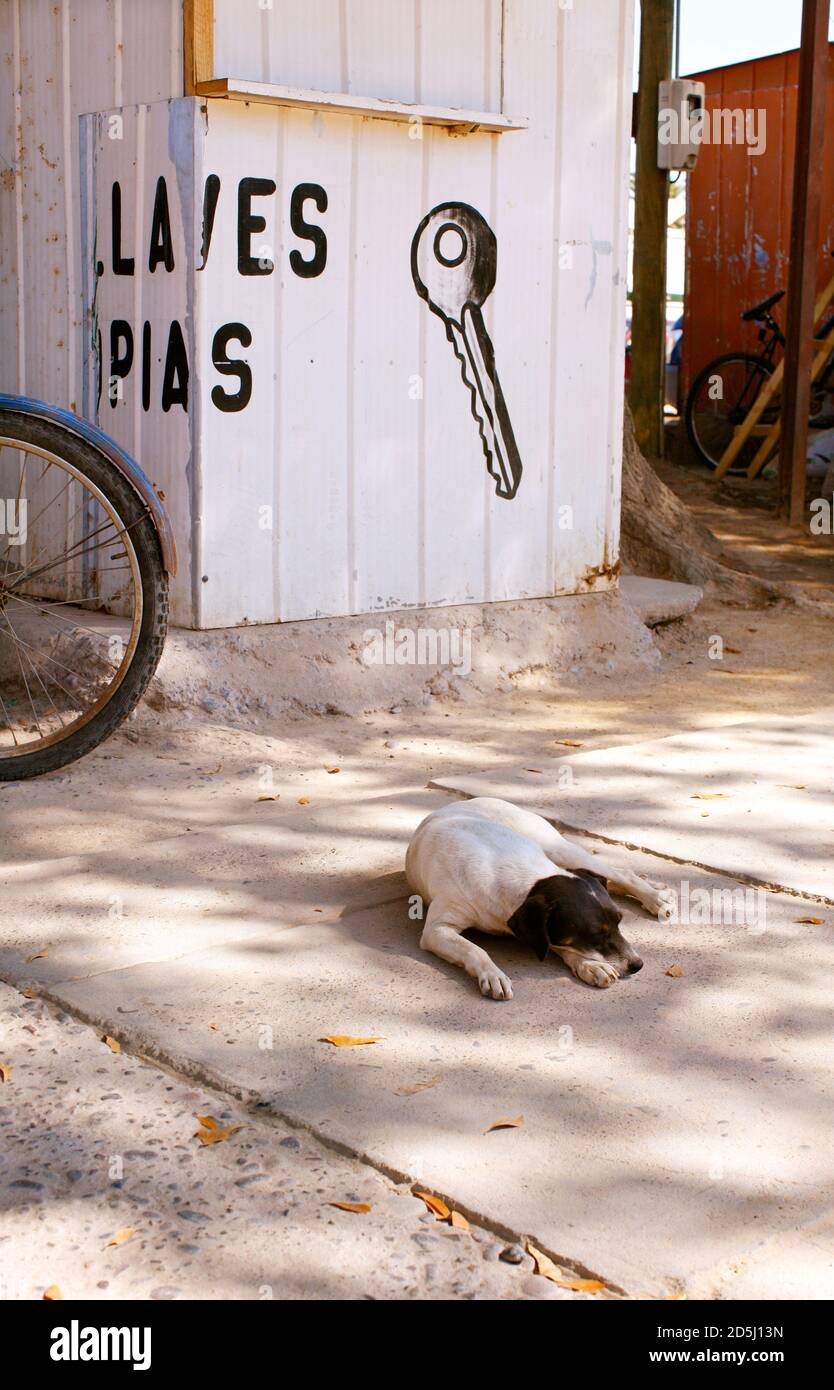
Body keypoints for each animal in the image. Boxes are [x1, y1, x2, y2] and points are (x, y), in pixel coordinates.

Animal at [403, 795, 664, 1000]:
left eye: (620, 921)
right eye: (596, 934)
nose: (638, 965)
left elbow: (558, 944)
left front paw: (589, 965)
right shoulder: (437, 930)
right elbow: (474, 949)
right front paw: (493, 973)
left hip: (560, 849)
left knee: (622, 873)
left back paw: (655, 898)